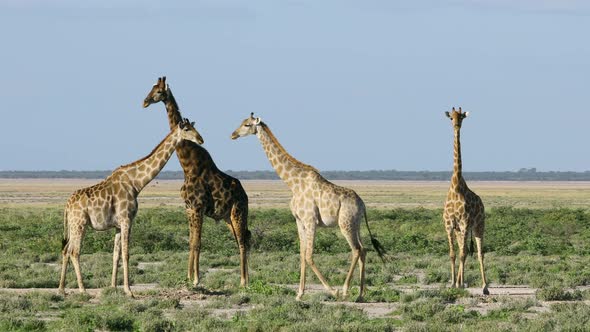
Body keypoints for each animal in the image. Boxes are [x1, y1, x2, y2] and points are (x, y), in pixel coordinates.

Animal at [59, 118, 205, 296]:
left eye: (193, 127)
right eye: (187, 129)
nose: (200, 139)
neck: (136, 183)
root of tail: (67, 205)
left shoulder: (118, 225)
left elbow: (116, 255)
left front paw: (113, 287)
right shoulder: (127, 220)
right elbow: (126, 254)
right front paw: (129, 291)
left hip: (74, 225)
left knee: (66, 249)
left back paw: (61, 289)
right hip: (79, 224)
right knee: (75, 251)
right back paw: (82, 289)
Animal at [145, 76, 252, 286]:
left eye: (159, 91)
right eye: (151, 88)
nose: (144, 102)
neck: (187, 164)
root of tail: (245, 194)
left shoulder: (197, 207)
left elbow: (198, 242)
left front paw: (195, 279)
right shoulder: (188, 207)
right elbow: (191, 241)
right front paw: (188, 277)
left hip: (238, 212)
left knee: (243, 241)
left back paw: (243, 281)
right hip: (227, 217)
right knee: (242, 239)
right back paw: (245, 278)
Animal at [229, 113, 386, 302]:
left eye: (246, 124)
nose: (233, 135)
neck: (293, 183)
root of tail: (362, 204)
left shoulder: (310, 220)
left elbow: (309, 256)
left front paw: (332, 291)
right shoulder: (299, 221)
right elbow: (302, 254)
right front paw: (299, 293)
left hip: (345, 223)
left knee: (356, 250)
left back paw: (345, 290)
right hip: (356, 224)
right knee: (364, 250)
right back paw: (361, 294)